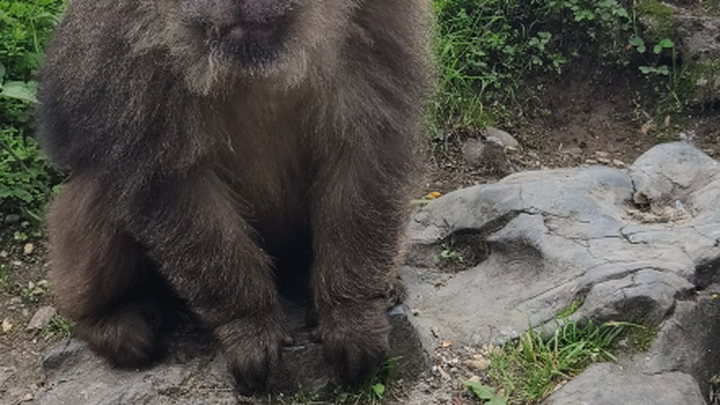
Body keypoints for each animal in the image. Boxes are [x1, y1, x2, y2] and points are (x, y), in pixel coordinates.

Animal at [37, 0, 431, 395]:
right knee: (100, 188)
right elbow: (175, 187)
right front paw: (248, 325)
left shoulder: (376, 23)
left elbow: (363, 157)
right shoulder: (124, 49)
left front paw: (351, 314)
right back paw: (108, 318)